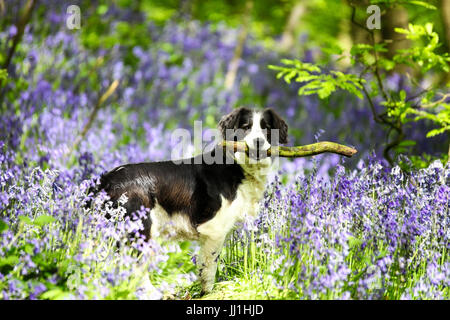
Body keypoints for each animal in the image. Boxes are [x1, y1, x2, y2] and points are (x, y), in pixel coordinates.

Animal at [97, 107, 290, 296]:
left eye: (267, 128)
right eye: (245, 127)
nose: (258, 142)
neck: (238, 167)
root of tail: (106, 180)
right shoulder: (214, 229)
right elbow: (209, 267)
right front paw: (207, 292)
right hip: (141, 229)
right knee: (135, 267)